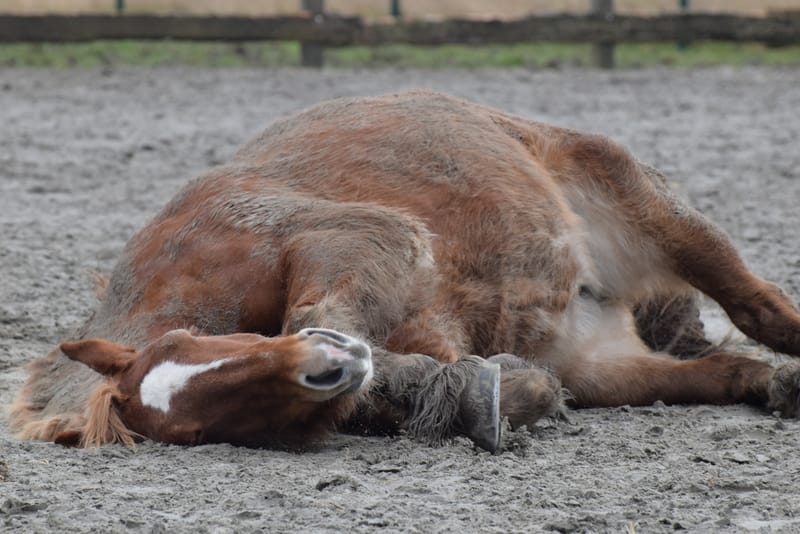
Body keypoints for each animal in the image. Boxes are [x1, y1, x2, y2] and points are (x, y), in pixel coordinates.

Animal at [10, 91, 800, 453]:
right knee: (720, 370)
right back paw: (772, 385)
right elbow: (439, 380)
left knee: (756, 305)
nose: (326, 368)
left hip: (657, 215)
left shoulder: (356, 238)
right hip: (601, 363)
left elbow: (325, 305)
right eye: (213, 427)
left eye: (199, 346)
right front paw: (492, 395)